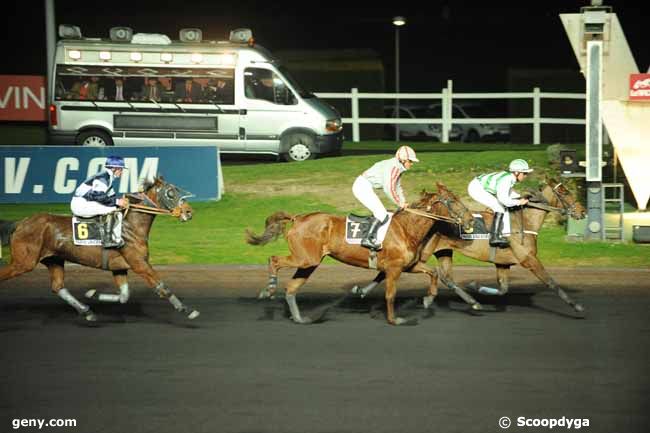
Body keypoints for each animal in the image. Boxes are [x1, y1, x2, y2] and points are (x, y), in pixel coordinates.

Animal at [0, 176, 197, 320]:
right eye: (170, 193)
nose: (188, 212)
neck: (130, 226)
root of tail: (20, 223)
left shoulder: (119, 267)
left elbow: (124, 296)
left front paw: (92, 294)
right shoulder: (139, 263)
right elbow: (162, 287)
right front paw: (186, 309)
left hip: (53, 259)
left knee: (58, 287)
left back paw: (86, 311)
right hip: (24, 262)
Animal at [243, 186, 476, 324]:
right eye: (453, 200)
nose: (471, 220)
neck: (406, 228)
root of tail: (297, 218)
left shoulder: (408, 265)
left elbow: (433, 272)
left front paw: (428, 299)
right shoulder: (394, 268)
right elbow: (390, 294)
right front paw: (394, 320)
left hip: (310, 263)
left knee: (291, 288)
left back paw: (300, 318)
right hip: (306, 258)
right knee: (274, 260)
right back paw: (268, 289)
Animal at [354, 177, 588, 316]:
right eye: (564, 192)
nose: (582, 212)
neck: (524, 222)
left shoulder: (503, 263)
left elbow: (503, 289)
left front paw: (477, 286)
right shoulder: (529, 259)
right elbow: (552, 282)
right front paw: (576, 305)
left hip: (443, 251)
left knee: (444, 277)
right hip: (423, 251)